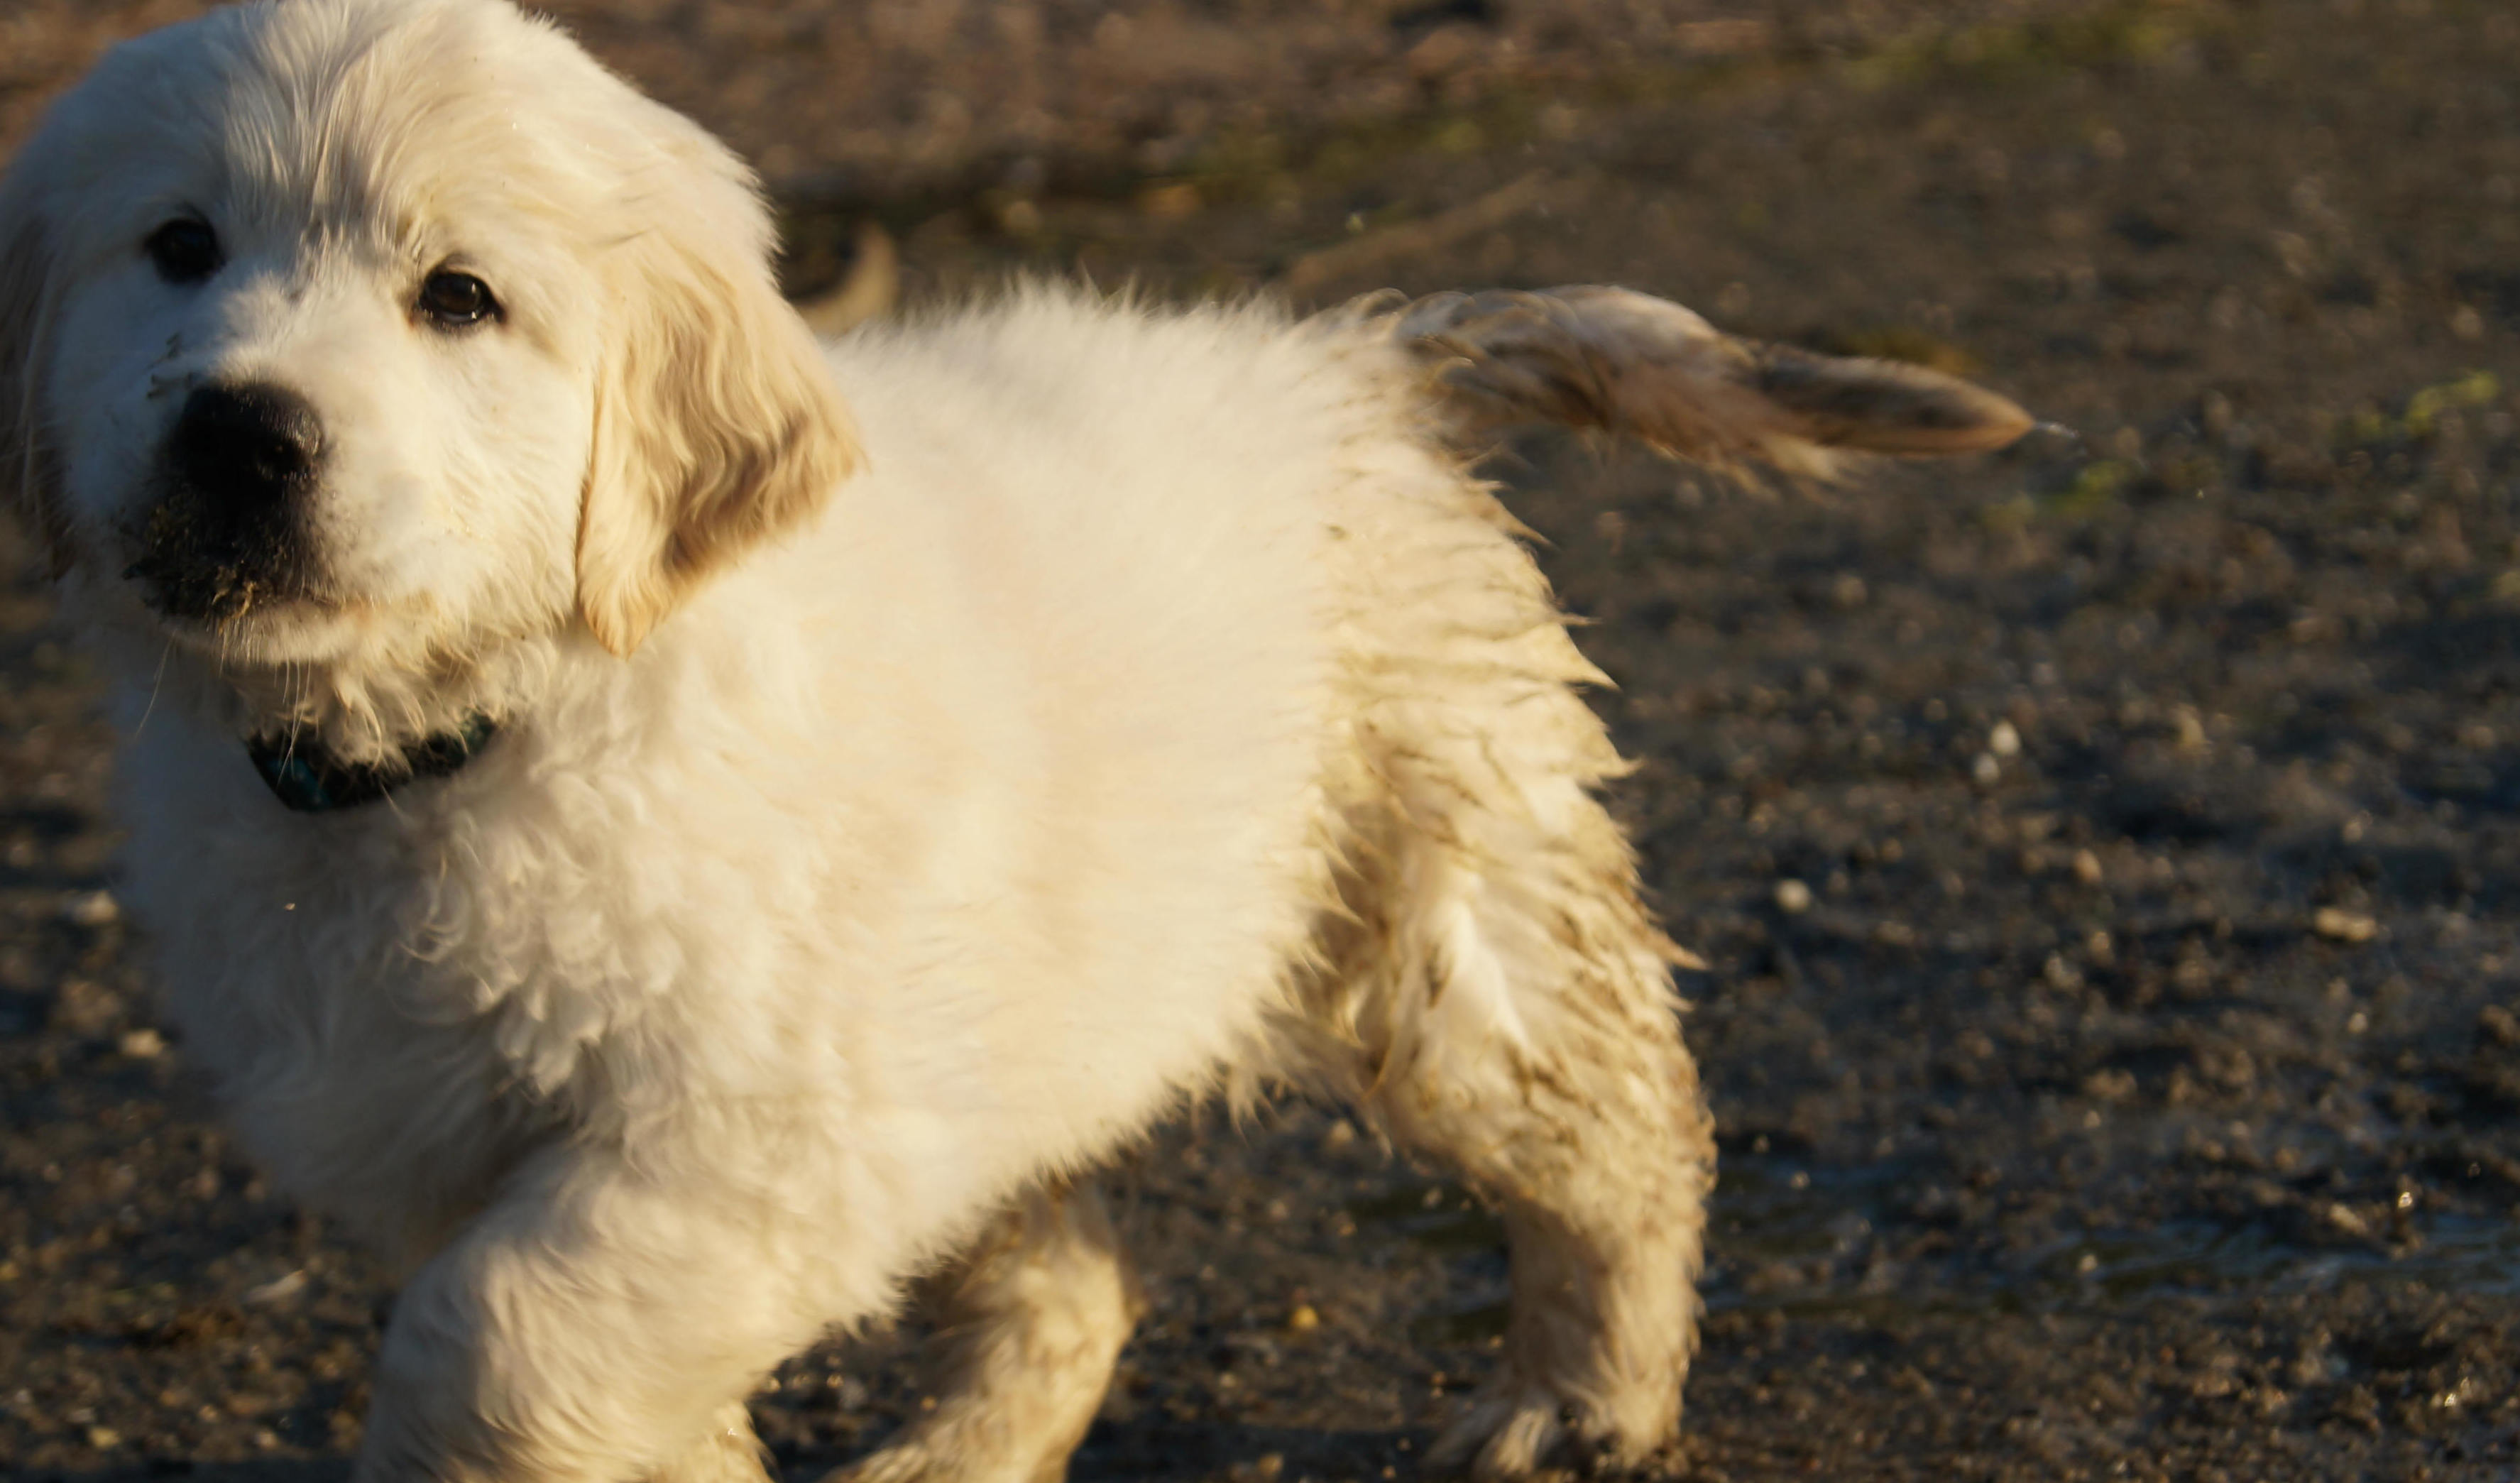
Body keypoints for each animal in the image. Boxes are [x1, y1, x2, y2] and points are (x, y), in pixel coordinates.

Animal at [0, 3, 2026, 1483]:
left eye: (460, 298)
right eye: (177, 248)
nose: (244, 432)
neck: (470, 733)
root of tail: (1355, 366)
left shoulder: (746, 1131)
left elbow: (490, 1340)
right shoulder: (470, 1140)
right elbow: (587, 1359)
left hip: (1436, 925)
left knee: (1625, 1143)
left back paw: (1582, 1395)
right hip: (1001, 1038)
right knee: (1073, 1285)